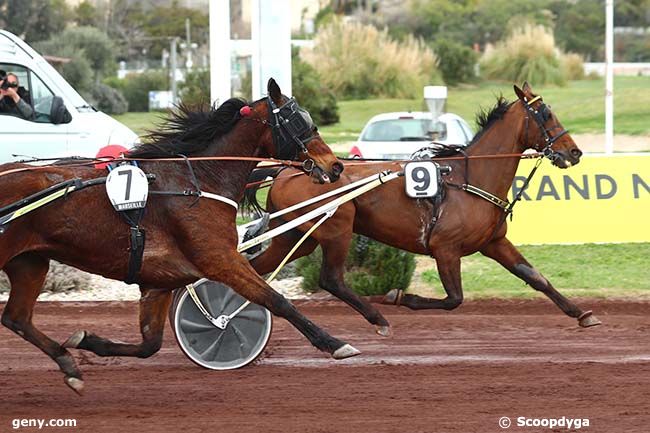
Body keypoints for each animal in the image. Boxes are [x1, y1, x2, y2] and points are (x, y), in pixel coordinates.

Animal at [246, 83, 600, 334]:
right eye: (546, 114)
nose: (574, 151)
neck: (469, 178)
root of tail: (287, 170)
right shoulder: (446, 249)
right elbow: (454, 299)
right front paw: (400, 297)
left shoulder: (494, 242)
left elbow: (535, 277)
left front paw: (582, 314)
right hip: (336, 229)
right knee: (332, 280)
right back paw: (378, 316)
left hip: (293, 237)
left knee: (256, 269)